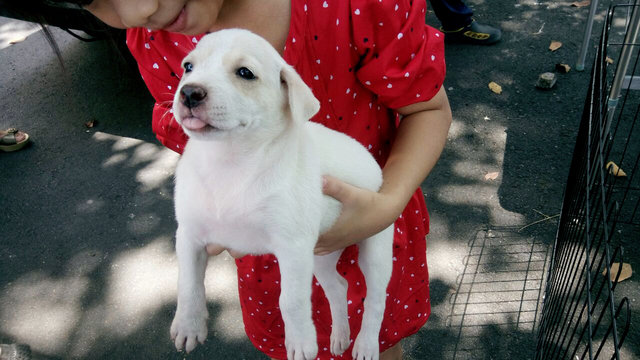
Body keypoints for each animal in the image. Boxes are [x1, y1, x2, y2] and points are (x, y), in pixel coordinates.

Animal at [168, 28, 392, 360]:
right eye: (188, 67)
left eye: (245, 73)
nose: (189, 93)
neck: (229, 163)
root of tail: (370, 161)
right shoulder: (189, 235)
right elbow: (188, 285)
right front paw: (188, 325)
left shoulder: (292, 247)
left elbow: (292, 300)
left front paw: (300, 342)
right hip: (320, 254)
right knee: (338, 286)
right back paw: (340, 335)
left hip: (374, 244)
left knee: (376, 298)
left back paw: (365, 344)